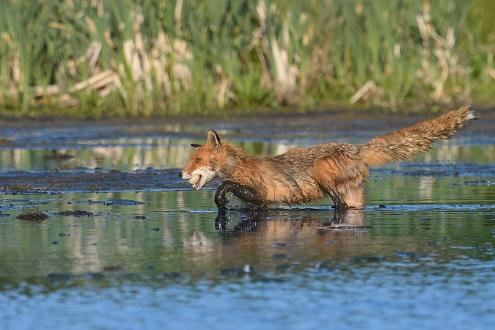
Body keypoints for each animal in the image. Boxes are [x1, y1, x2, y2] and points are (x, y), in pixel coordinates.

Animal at [181, 107, 476, 210]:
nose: (180, 174)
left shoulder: (261, 191)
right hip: (353, 193)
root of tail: (357, 148)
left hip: (322, 172)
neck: (241, 166)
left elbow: (224, 185)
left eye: (197, 160)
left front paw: (220, 200)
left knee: (339, 205)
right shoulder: (260, 200)